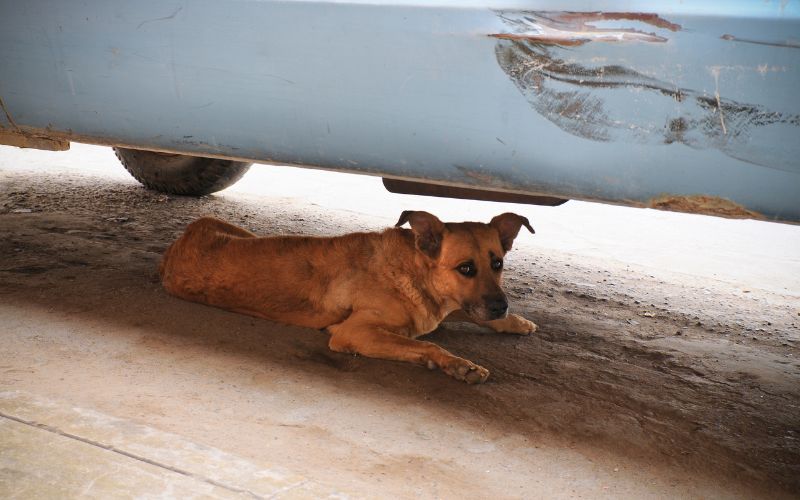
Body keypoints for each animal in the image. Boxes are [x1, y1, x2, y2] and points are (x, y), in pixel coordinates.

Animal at [161, 211, 536, 382]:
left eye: (498, 263)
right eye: (466, 268)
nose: (501, 306)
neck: (413, 271)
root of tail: (178, 243)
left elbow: (461, 312)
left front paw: (515, 322)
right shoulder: (355, 332)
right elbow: (428, 344)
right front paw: (459, 364)